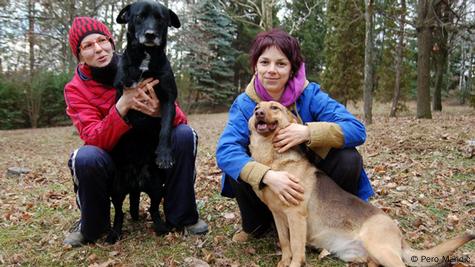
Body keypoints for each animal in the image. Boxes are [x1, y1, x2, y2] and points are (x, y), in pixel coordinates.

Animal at [105, 0, 180, 245]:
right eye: (139, 16)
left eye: (161, 19)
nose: (150, 34)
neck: (146, 58)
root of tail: (136, 184)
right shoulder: (123, 93)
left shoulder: (168, 99)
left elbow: (165, 129)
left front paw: (164, 155)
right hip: (116, 189)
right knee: (119, 213)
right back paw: (114, 233)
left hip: (157, 187)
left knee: (155, 209)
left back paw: (160, 226)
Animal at [247, 101, 474, 266]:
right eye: (256, 108)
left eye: (274, 107)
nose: (258, 113)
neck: (272, 158)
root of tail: (399, 235)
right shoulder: (278, 215)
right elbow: (285, 244)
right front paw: (283, 262)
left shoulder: (295, 216)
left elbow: (295, 248)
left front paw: (292, 263)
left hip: (380, 249)